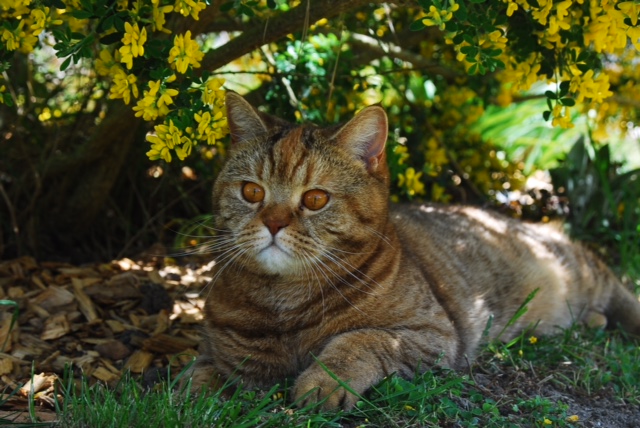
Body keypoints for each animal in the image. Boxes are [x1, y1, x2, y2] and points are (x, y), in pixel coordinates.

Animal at [189, 92, 640, 410]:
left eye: (316, 199)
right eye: (252, 192)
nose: (273, 222)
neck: (284, 305)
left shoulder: (434, 334)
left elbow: (358, 340)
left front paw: (323, 381)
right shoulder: (217, 349)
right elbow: (197, 377)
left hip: (582, 270)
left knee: (622, 291)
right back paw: (590, 322)